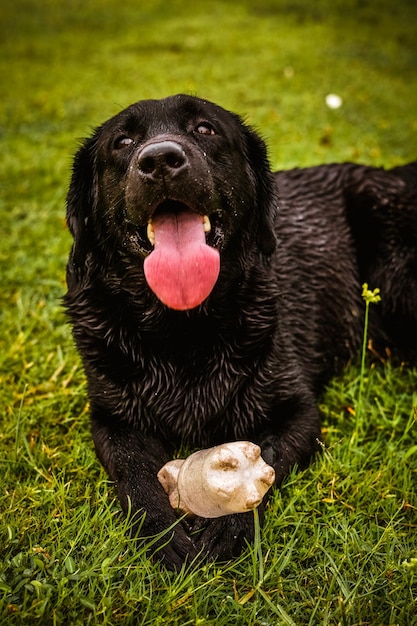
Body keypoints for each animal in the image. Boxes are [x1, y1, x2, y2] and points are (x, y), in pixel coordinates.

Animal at [64, 95, 416, 568]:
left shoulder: (298, 411)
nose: (160, 160)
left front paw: (228, 526)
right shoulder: (111, 420)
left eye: (205, 129)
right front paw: (163, 532)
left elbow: (267, 459)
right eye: (122, 142)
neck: (182, 331)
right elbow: (134, 473)